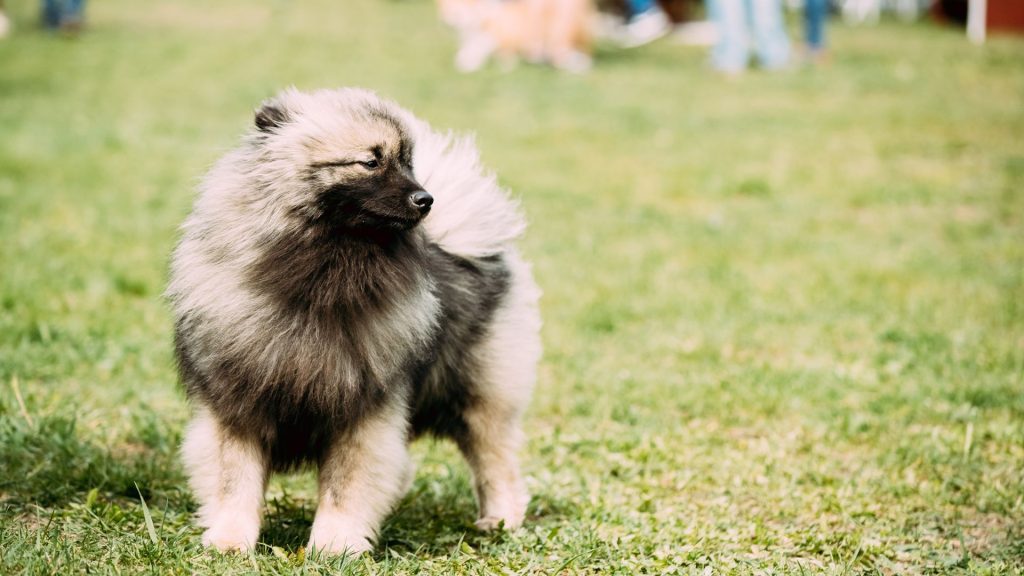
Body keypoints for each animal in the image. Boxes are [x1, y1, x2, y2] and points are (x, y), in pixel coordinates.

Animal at [165, 88, 544, 553]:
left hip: (482, 398)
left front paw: (335, 545)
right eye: (371, 162)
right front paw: (230, 540)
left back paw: (500, 520)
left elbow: (345, 485)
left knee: (495, 461)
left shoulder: (362, 411)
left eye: (408, 163)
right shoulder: (236, 404)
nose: (426, 199)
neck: (320, 280)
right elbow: (236, 481)